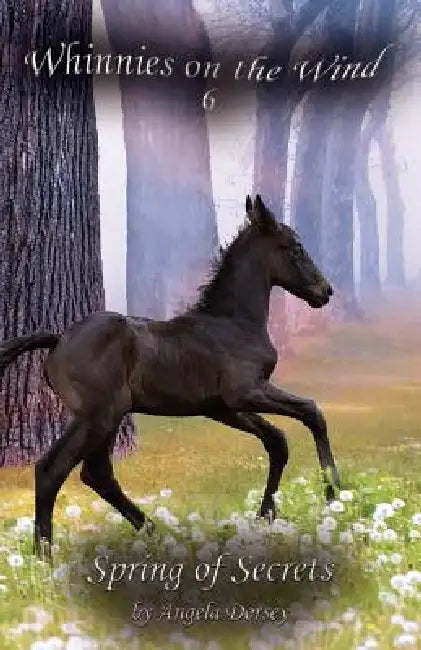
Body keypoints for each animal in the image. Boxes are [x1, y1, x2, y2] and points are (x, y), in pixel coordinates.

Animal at [0, 195, 339, 559]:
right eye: (295, 248)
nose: (325, 292)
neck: (234, 322)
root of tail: (59, 338)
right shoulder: (246, 392)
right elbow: (312, 411)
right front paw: (334, 495)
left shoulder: (221, 407)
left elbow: (277, 441)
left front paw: (266, 516)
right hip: (97, 416)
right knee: (53, 469)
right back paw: (45, 557)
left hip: (110, 416)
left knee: (97, 473)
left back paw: (156, 532)